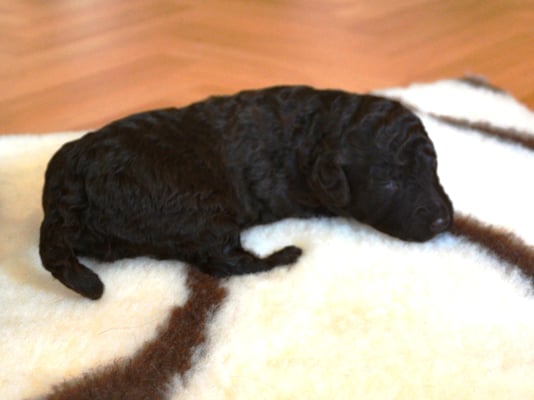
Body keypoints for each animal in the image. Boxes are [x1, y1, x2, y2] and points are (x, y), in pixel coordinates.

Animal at [39, 85, 453, 300]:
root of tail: (68, 192)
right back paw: (286, 255)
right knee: (225, 263)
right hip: (204, 210)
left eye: (433, 167)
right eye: (388, 182)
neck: (320, 129)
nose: (443, 220)